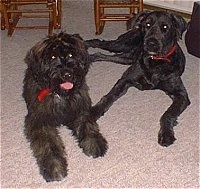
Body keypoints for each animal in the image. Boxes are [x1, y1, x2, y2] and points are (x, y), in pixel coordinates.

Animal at [22, 32, 108, 182]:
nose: (67, 73)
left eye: (70, 55)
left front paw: (94, 143)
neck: (61, 95)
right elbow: (49, 145)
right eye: (52, 57)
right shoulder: (40, 121)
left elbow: (88, 125)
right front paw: (55, 167)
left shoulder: (80, 109)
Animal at [87, 11, 189, 147]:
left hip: (126, 58)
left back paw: (90, 57)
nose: (151, 43)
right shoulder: (125, 80)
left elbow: (167, 114)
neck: (155, 62)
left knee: (101, 54)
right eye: (147, 24)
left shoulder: (181, 94)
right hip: (121, 45)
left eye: (165, 27)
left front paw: (166, 134)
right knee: (99, 42)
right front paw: (95, 111)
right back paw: (83, 44)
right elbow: (109, 96)